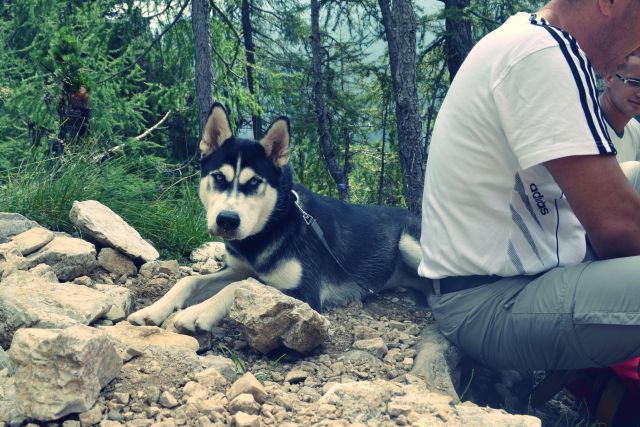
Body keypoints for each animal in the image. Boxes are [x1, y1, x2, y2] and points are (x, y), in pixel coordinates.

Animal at [127, 103, 430, 334]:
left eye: (254, 182)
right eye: (219, 177)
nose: (227, 220)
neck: (267, 228)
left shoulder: (304, 292)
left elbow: (242, 286)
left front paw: (198, 312)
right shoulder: (237, 268)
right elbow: (190, 281)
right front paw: (154, 309)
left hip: (409, 243)